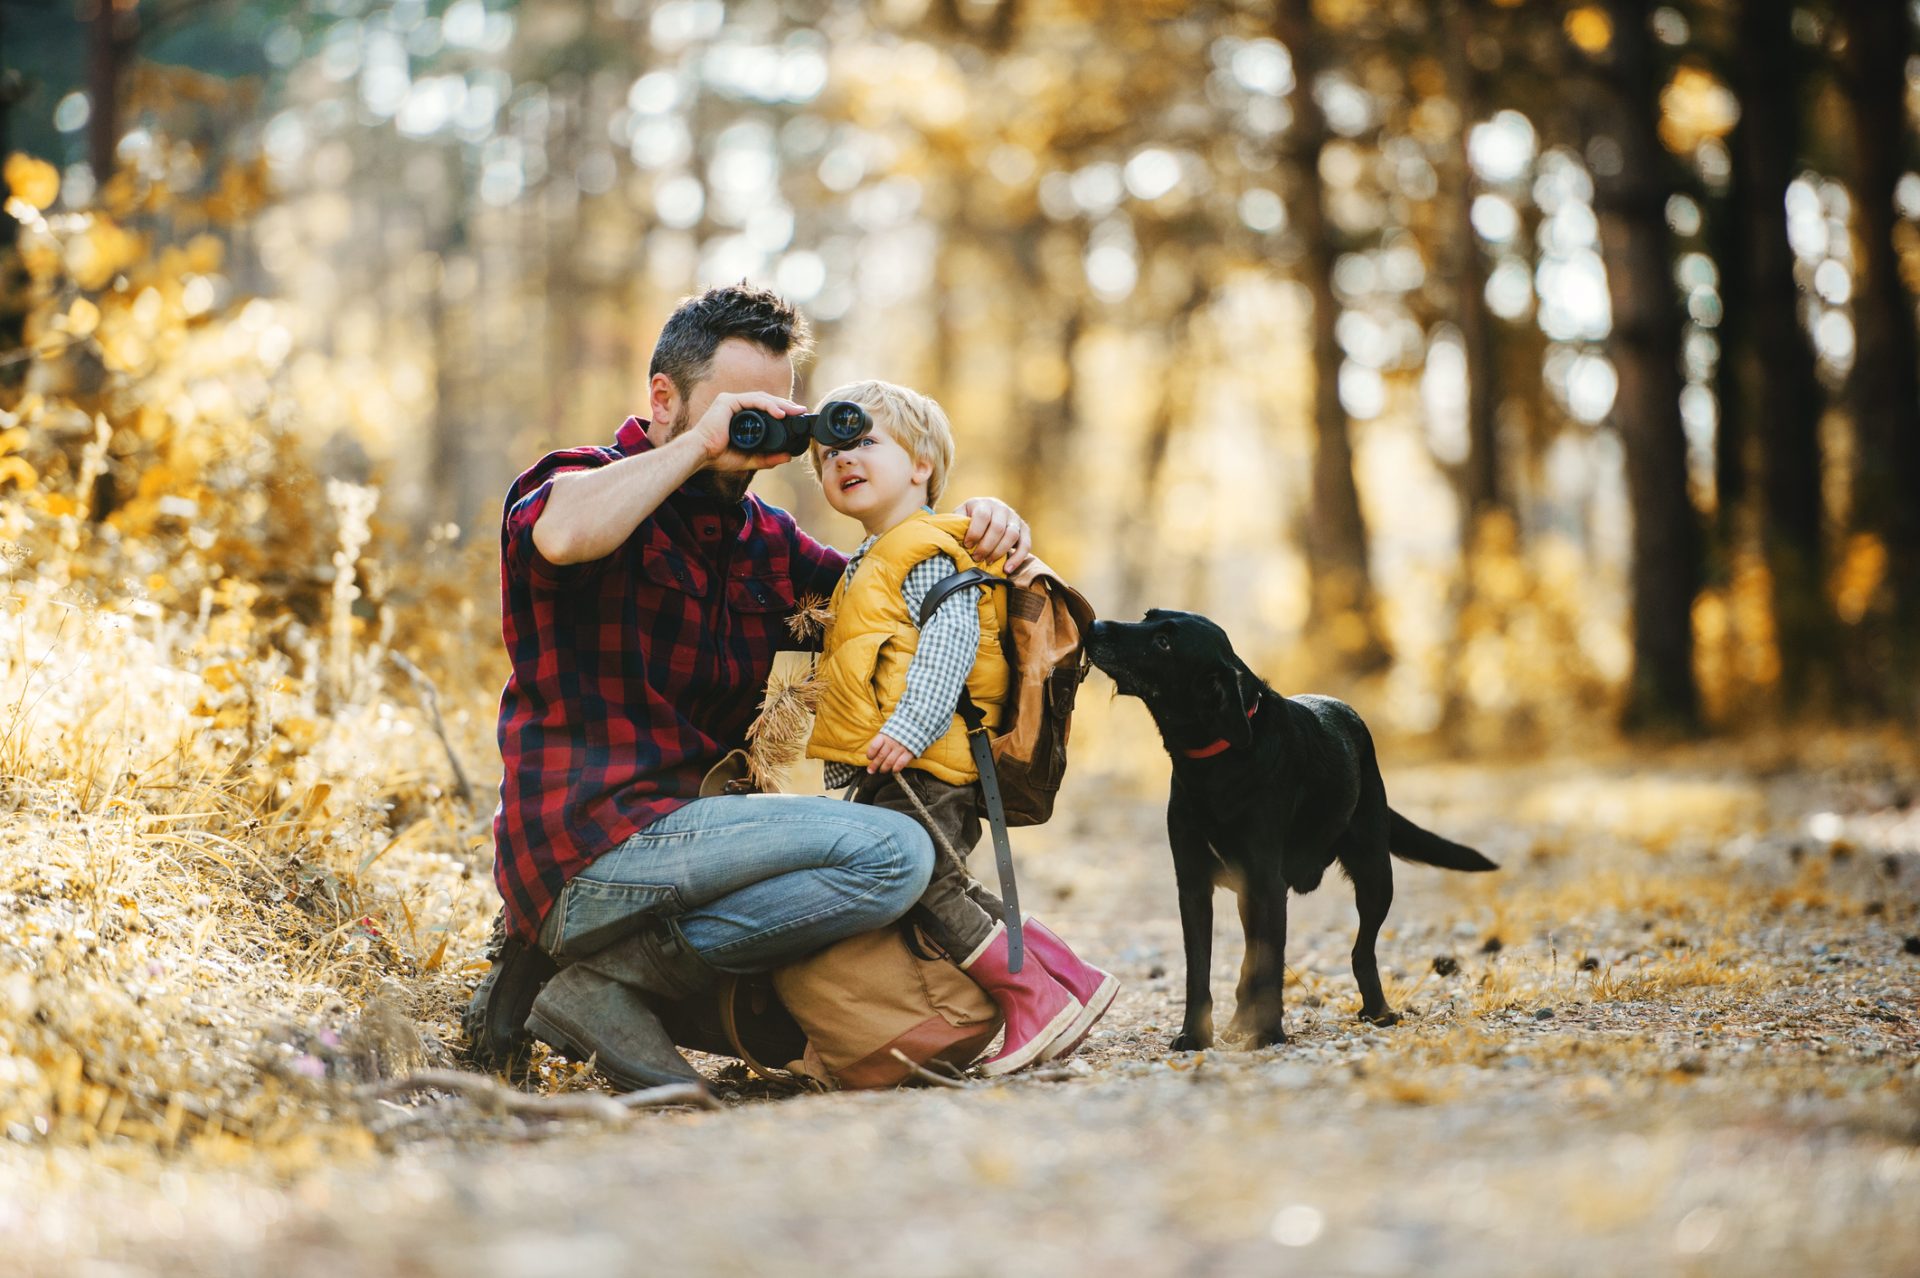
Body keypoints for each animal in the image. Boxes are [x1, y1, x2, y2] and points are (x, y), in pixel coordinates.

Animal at [1090, 606, 1489, 1043]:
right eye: (1148, 616)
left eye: (1164, 642)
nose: (1093, 626)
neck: (1214, 763)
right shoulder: (1194, 886)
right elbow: (1201, 971)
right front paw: (1196, 1037)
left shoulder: (1266, 883)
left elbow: (1266, 966)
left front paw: (1267, 1034)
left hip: (1374, 874)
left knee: (1360, 952)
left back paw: (1378, 1011)